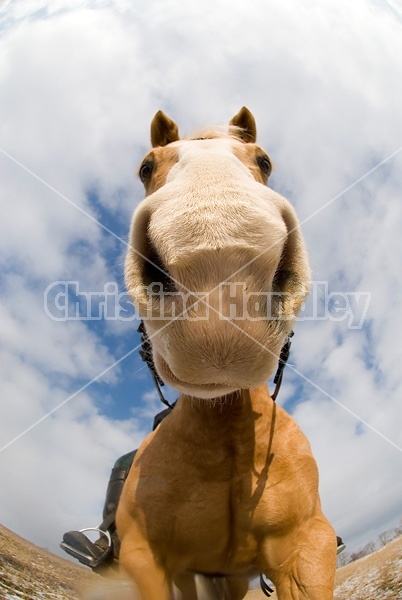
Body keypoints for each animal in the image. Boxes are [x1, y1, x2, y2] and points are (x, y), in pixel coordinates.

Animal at [117, 109, 336, 600]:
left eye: (265, 160)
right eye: (144, 167)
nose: (221, 280)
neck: (226, 433)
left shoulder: (307, 544)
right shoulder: (144, 559)